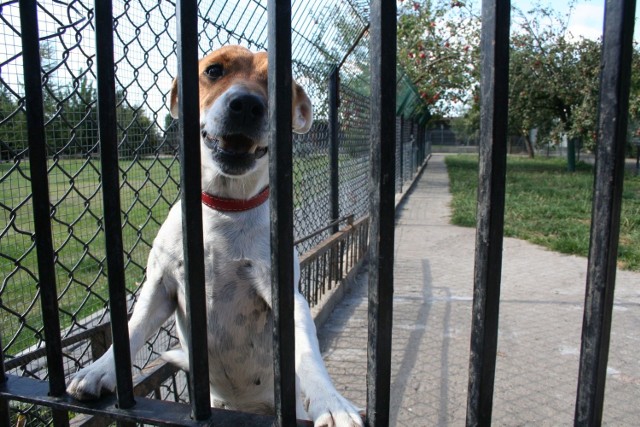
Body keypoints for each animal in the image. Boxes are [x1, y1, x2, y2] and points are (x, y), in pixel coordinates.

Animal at [67, 45, 362, 426]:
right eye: (214, 71)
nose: (247, 104)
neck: (226, 206)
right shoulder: (161, 285)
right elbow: (132, 329)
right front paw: (100, 370)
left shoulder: (283, 292)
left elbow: (307, 350)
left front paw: (332, 401)